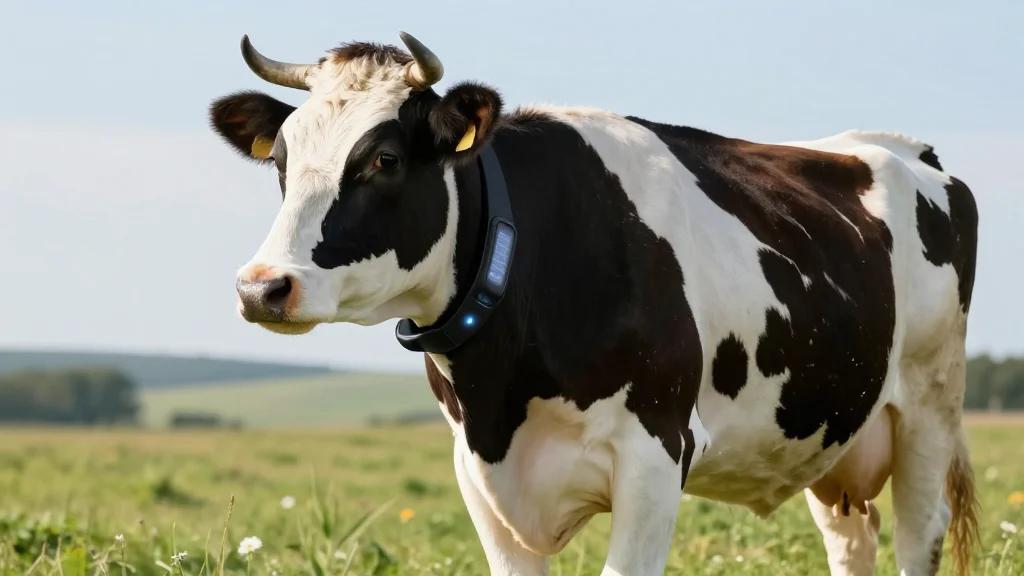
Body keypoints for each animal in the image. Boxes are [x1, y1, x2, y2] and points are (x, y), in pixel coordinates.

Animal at [210, 33, 979, 576]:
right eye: (280, 161)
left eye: (384, 159)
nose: (261, 286)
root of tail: (903, 148)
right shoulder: (482, 479)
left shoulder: (656, 458)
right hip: (832, 434)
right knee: (853, 539)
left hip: (928, 409)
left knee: (918, 534)